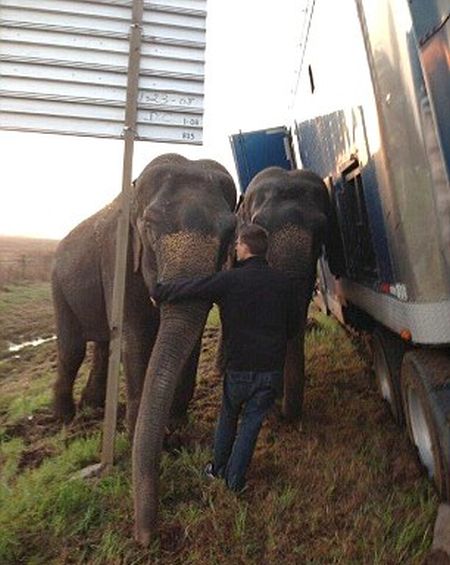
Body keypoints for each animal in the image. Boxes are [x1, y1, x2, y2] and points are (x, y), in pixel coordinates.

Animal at [51, 152, 237, 544]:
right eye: (149, 229)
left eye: (230, 232)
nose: (145, 536)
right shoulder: (117, 255)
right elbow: (134, 335)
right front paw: (137, 432)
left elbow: (190, 335)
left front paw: (176, 431)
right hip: (58, 285)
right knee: (73, 348)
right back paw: (65, 418)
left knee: (102, 344)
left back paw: (92, 407)